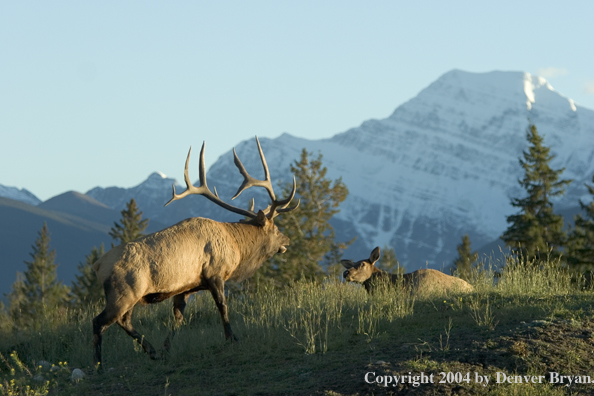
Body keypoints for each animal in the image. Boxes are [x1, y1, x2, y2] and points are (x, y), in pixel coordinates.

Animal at [91, 137, 298, 368]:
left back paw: (152, 351)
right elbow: (222, 306)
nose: (287, 240)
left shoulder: (186, 287)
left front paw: (166, 348)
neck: (236, 246)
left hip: (130, 296)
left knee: (124, 321)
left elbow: (179, 318)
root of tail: (97, 265)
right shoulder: (215, 274)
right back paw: (98, 366)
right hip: (123, 292)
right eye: (275, 228)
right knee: (99, 322)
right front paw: (232, 338)